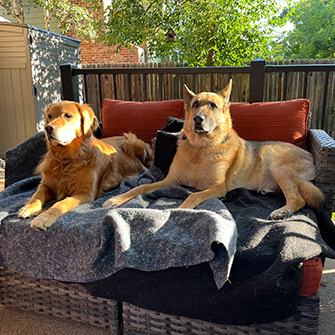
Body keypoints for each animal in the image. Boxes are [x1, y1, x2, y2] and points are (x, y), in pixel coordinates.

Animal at [103, 79, 326, 219]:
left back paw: (282, 212)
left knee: (298, 200)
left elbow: (192, 195)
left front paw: (181, 210)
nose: (197, 119)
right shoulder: (169, 180)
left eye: (212, 105)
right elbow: (140, 188)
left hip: (279, 165)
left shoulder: (218, 187)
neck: (200, 149)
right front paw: (116, 199)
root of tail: (309, 156)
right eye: (195, 104)